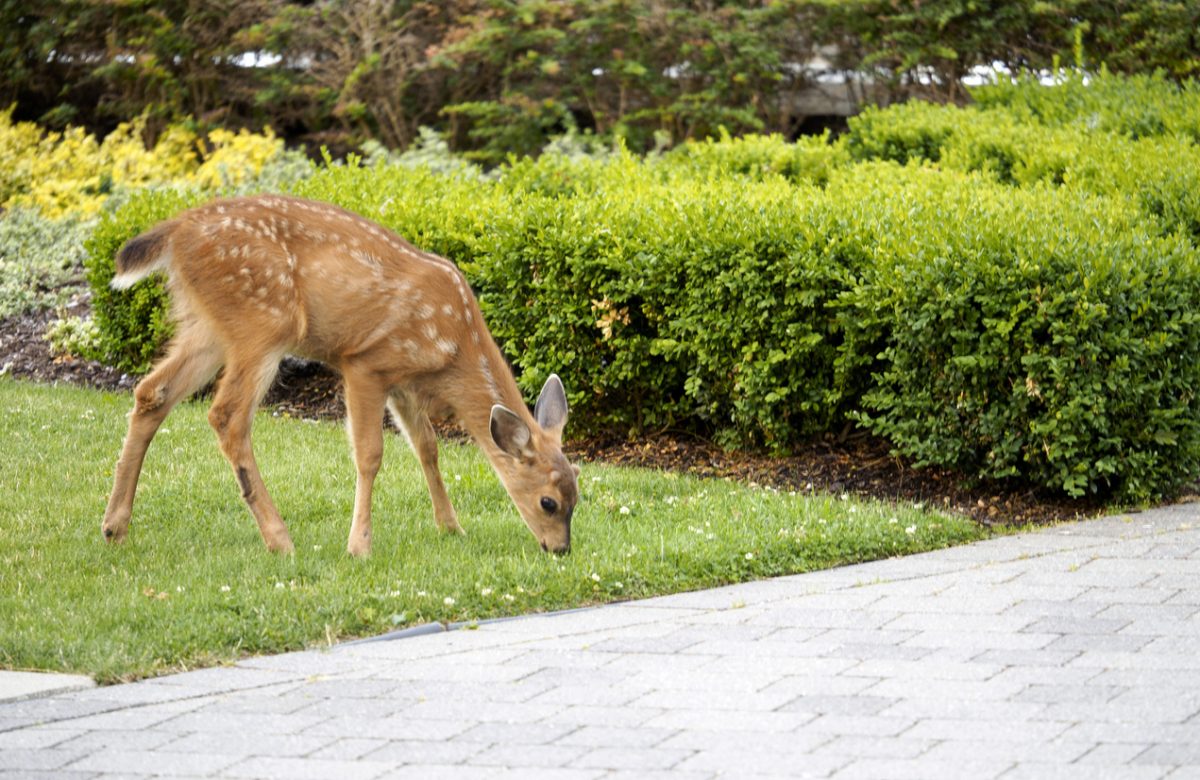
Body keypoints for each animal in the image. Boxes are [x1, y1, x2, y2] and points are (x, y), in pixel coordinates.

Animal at [98, 193, 576, 552]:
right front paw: (359, 545)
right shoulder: (366, 363)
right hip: (263, 322)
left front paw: (451, 527)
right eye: (549, 502)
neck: (453, 349)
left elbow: (427, 447)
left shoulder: (402, 383)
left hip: (208, 326)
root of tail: (174, 231)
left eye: (578, 495)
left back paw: (113, 526)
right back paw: (279, 539)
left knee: (151, 392)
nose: (560, 549)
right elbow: (370, 454)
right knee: (226, 415)